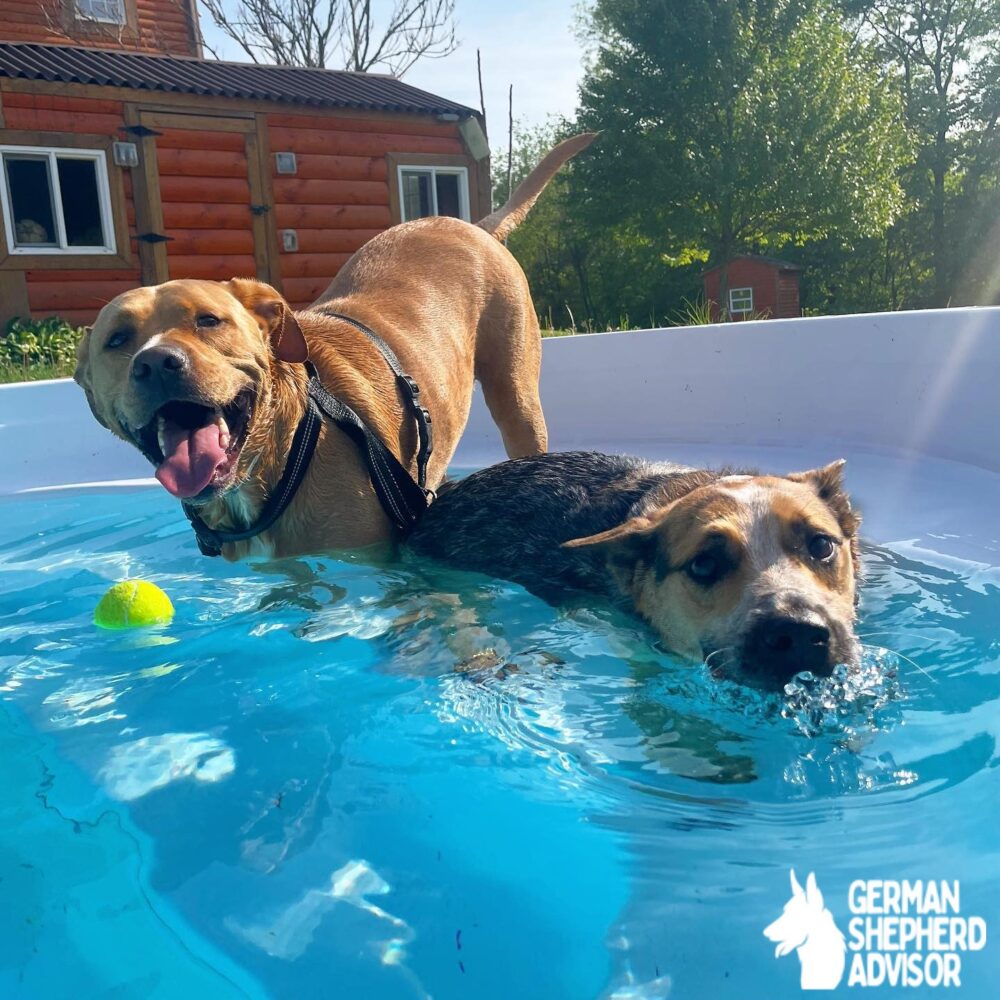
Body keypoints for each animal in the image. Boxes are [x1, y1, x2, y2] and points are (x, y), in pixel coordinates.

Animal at [78, 133, 596, 560]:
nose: (157, 362)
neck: (276, 454)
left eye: (208, 320)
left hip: (516, 398)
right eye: (117, 339)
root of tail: (477, 226)